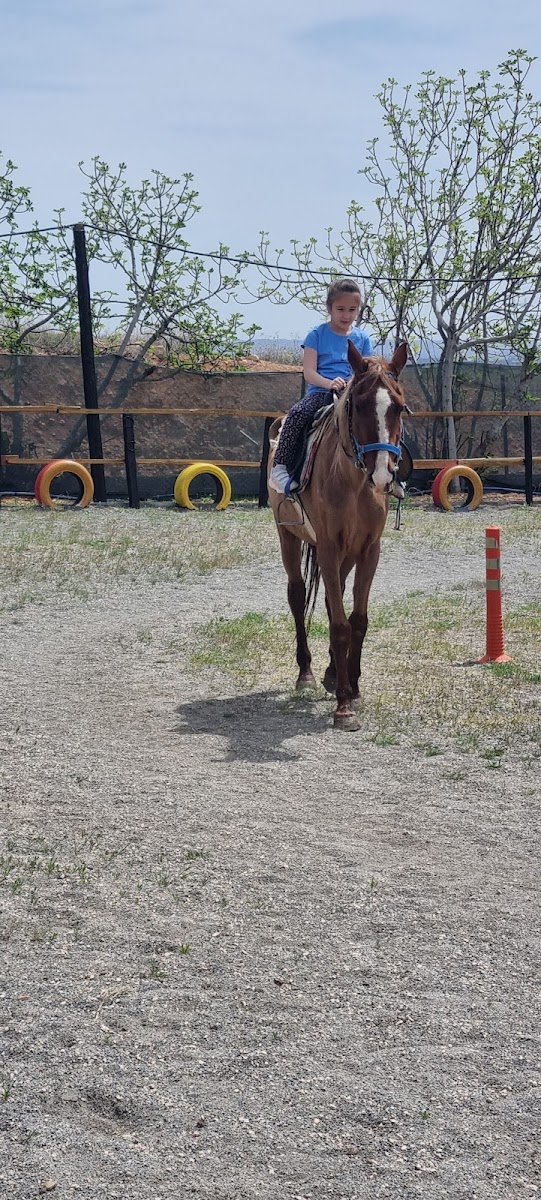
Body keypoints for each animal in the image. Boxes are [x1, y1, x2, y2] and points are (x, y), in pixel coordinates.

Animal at [268, 340, 408, 732]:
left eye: (399, 406)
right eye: (357, 404)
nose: (383, 474)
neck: (354, 483)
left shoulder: (368, 550)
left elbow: (356, 619)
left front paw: (352, 687)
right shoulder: (329, 548)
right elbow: (339, 624)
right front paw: (344, 706)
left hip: (345, 556)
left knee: (335, 599)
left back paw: (333, 672)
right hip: (289, 537)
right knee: (298, 595)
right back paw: (307, 674)